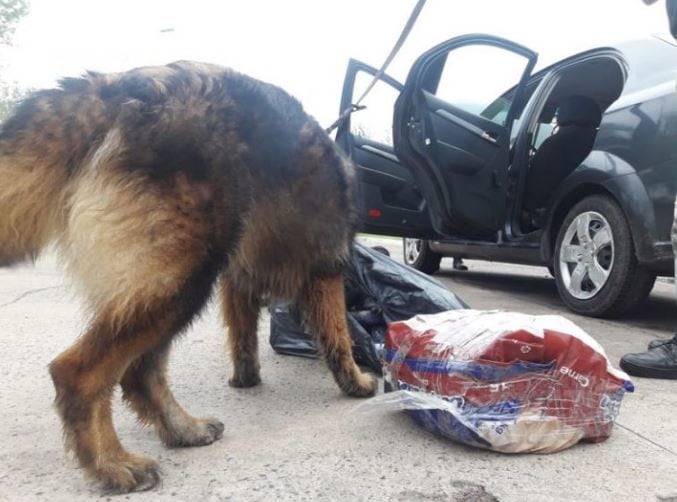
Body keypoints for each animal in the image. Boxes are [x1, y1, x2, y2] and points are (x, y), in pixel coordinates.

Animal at [0, 60, 374, 492]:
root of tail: (117, 87)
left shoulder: (237, 283)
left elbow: (243, 341)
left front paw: (246, 378)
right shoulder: (325, 273)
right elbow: (339, 338)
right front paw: (356, 383)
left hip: (165, 289)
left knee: (140, 373)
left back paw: (183, 431)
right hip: (181, 282)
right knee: (77, 373)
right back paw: (113, 464)